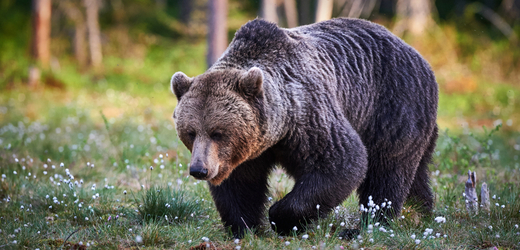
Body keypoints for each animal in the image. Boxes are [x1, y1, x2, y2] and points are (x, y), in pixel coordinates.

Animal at [172, 18, 438, 238]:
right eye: (190, 132)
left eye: (217, 132)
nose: (199, 169)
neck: (277, 130)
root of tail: (421, 58)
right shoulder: (244, 151)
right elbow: (240, 184)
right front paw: (244, 227)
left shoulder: (308, 117)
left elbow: (341, 162)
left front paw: (281, 218)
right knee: (415, 173)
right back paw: (419, 212)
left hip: (392, 107)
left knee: (387, 171)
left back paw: (367, 226)